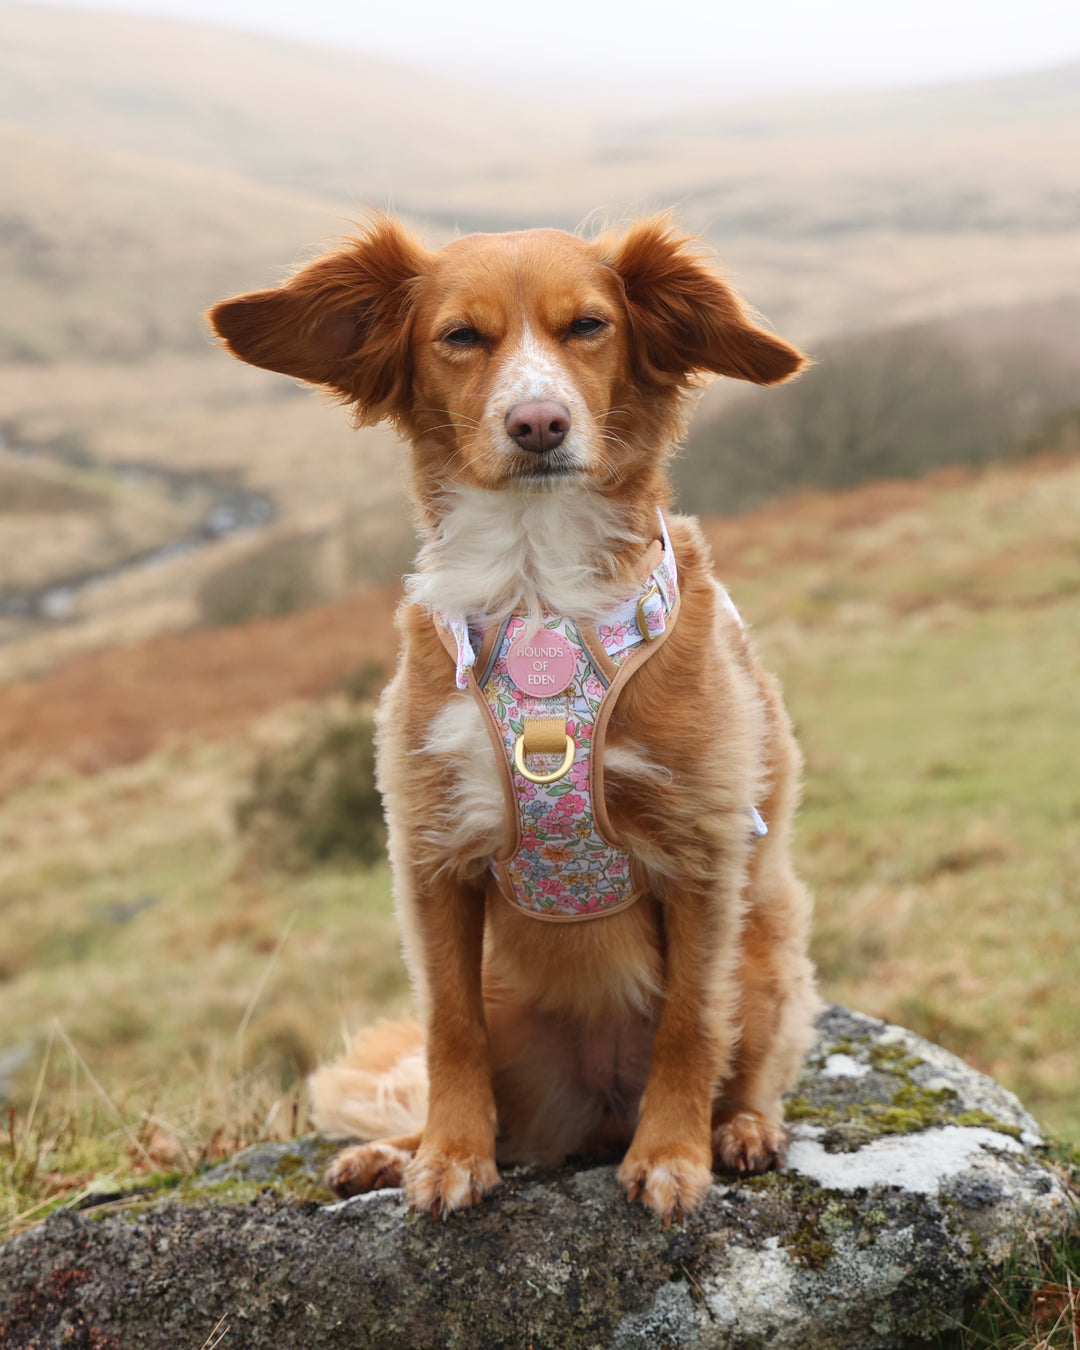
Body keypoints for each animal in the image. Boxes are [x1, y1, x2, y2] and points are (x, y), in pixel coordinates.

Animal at [209, 213, 820, 1225]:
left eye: (589, 326)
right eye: (461, 337)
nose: (539, 424)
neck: (538, 586)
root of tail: (599, 1108)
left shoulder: (704, 856)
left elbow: (693, 1022)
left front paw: (673, 1154)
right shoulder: (432, 856)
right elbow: (449, 1027)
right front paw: (448, 1156)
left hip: (770, 951)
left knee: (751, 1060)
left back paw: (740, 1129)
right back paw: (389, 1152)